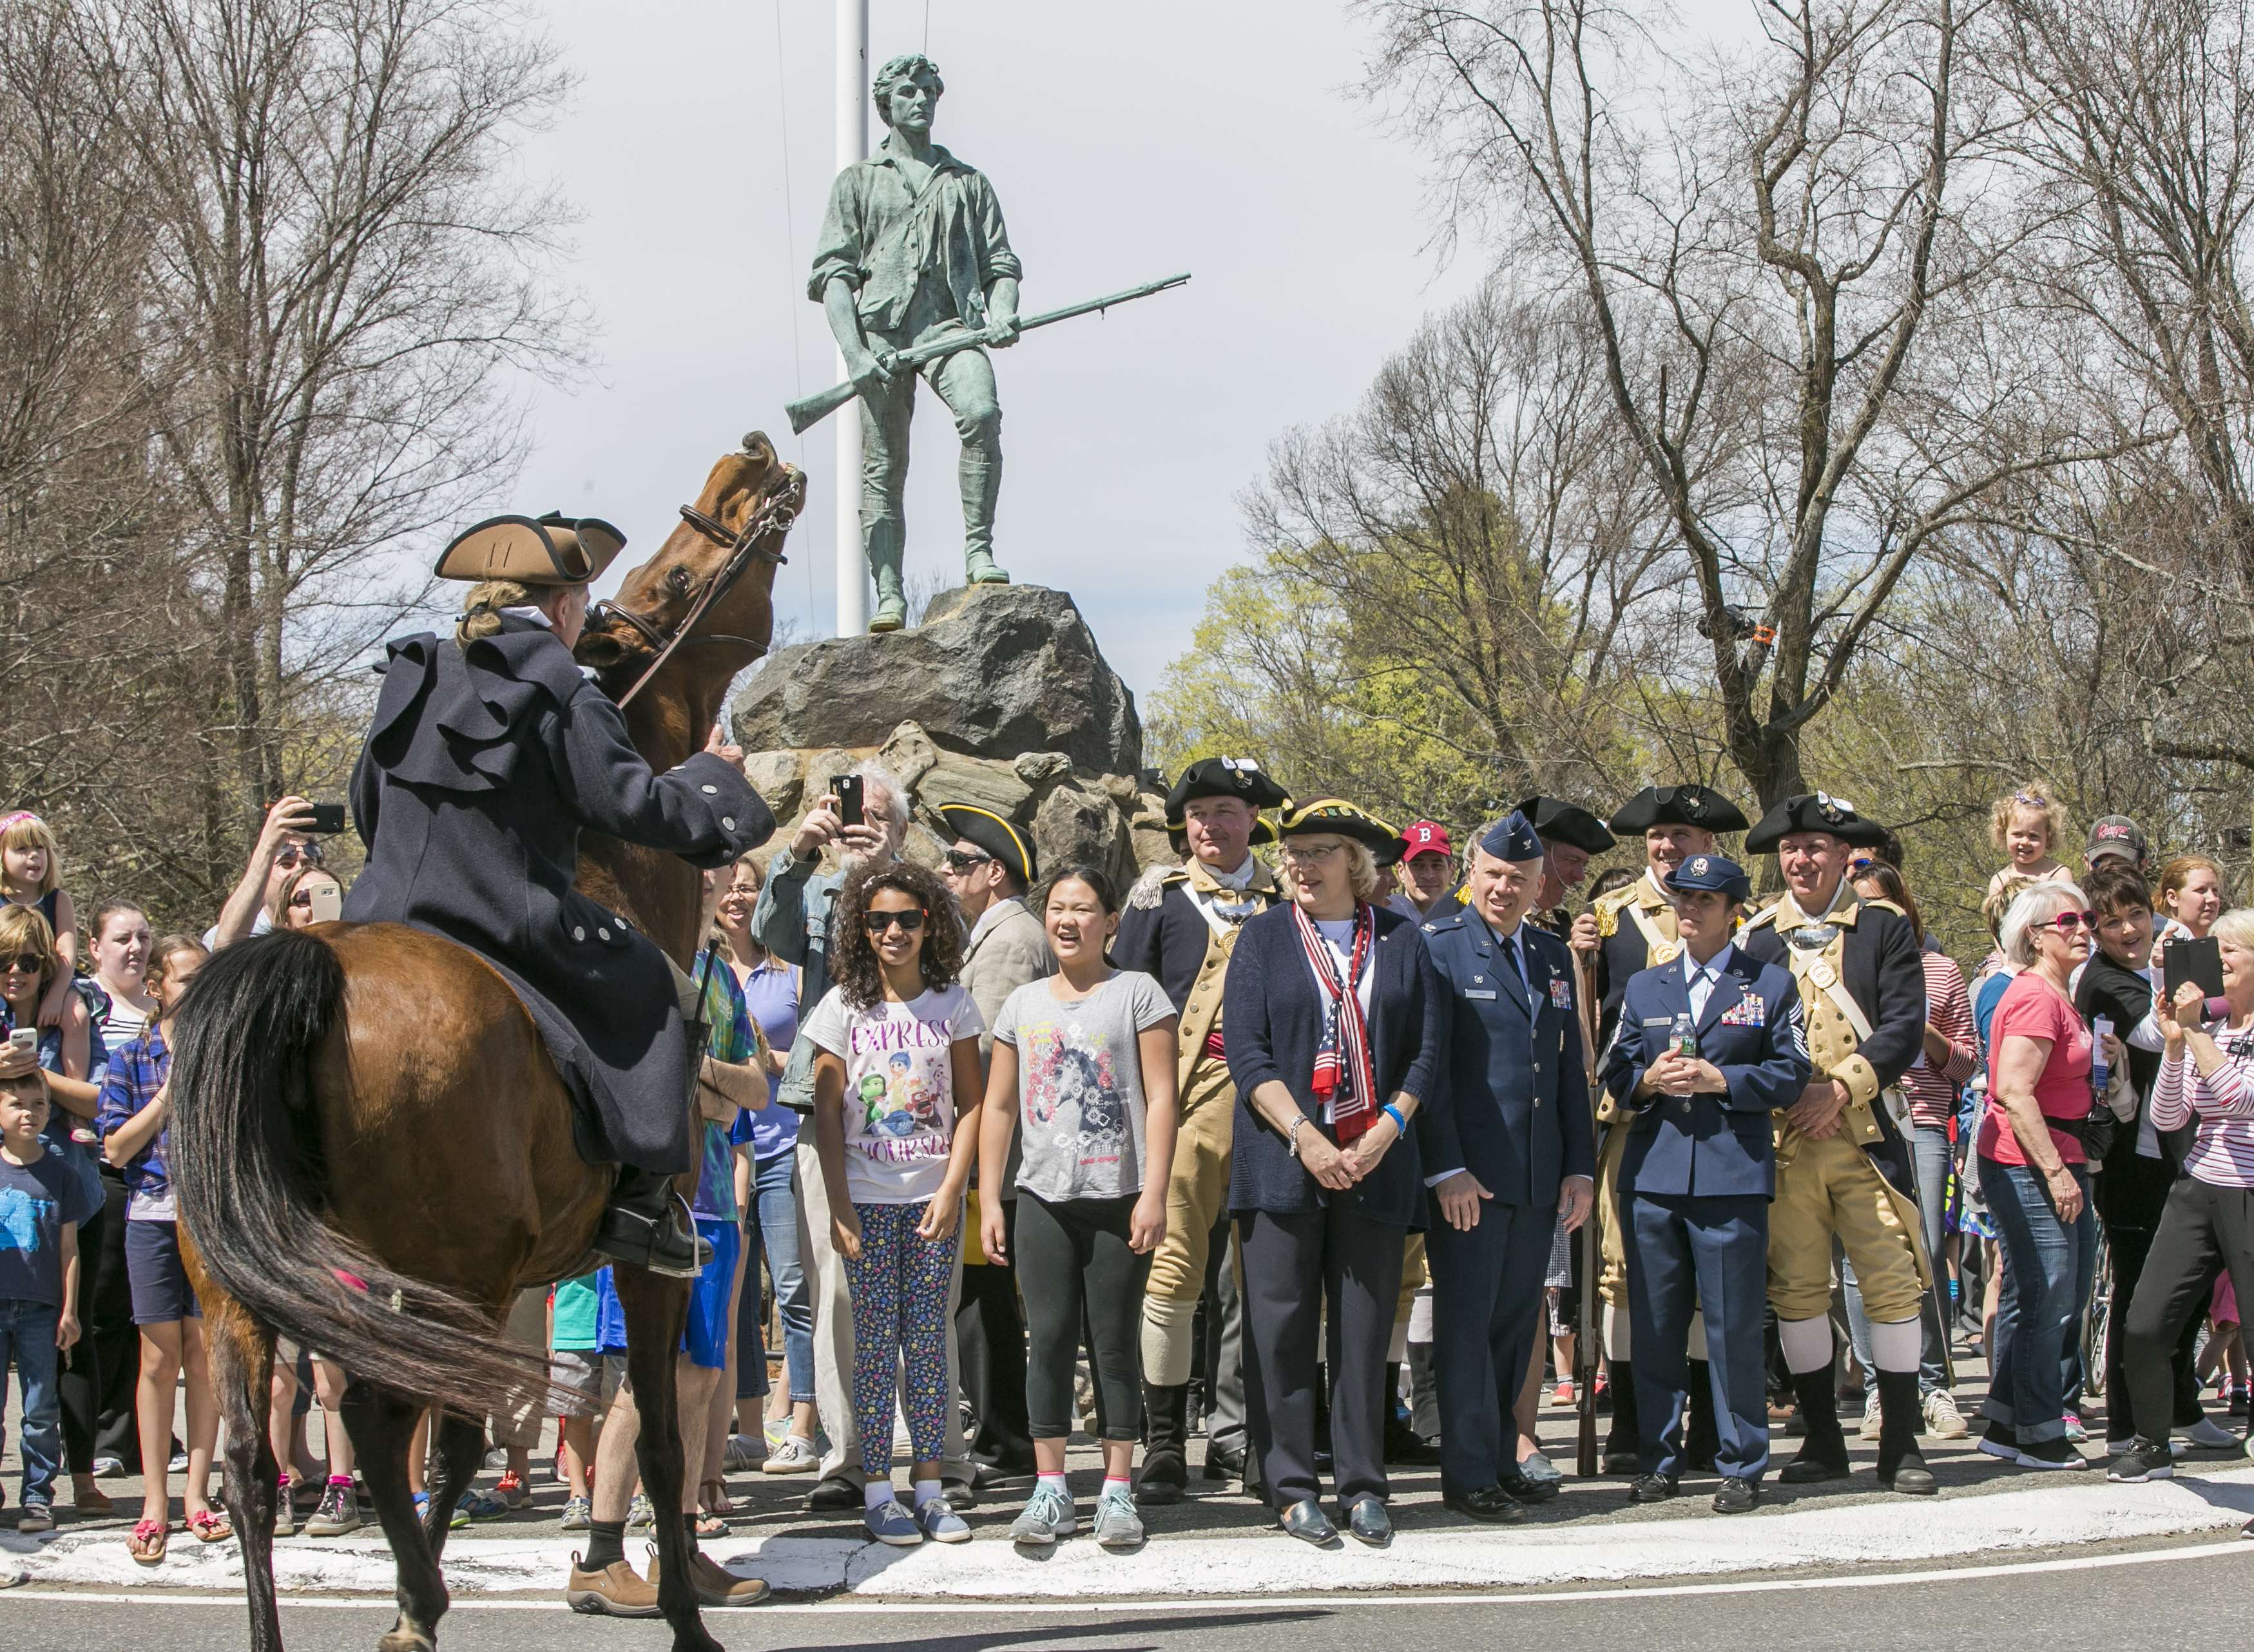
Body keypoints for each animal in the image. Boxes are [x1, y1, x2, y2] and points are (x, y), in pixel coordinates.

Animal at [175, 432, 811, 1640]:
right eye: (667, 584)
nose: (748, 460)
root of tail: (299, 968)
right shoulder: (648, 1265)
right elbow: (656, 1445)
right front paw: (684, 1613)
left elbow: (470, 1438)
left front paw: (414, 1595)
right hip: (440, 1272)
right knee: (390, 1422)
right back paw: (420, 1596)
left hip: (240, 1288)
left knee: (246, 1465)